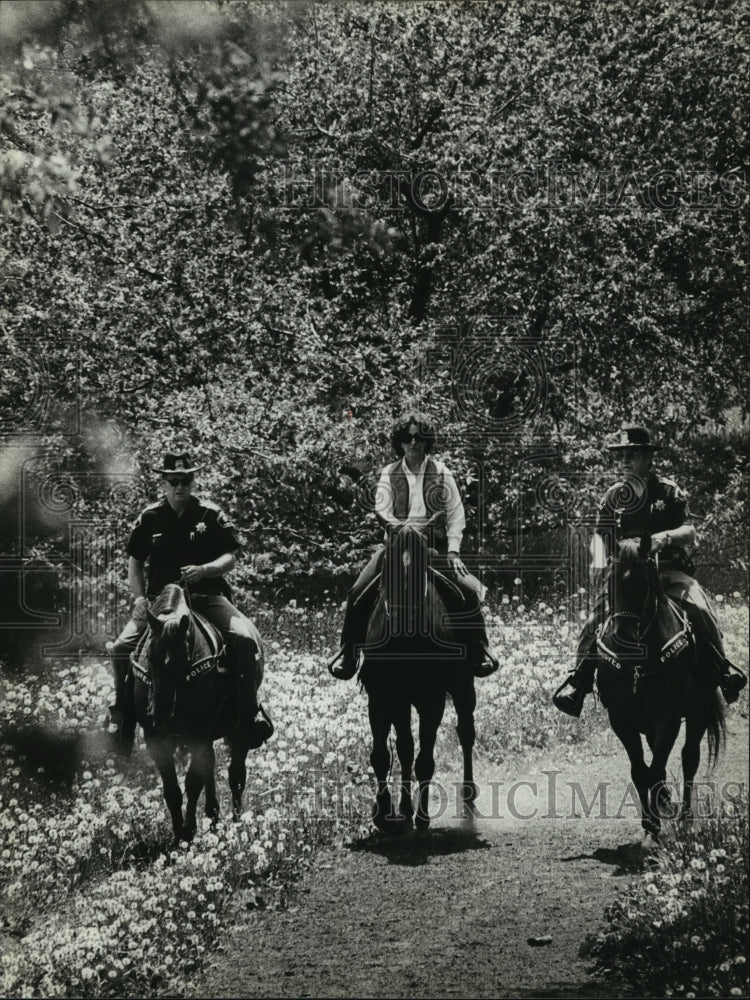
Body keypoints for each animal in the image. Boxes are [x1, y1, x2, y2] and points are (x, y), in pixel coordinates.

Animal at [132, 584, 270, 840]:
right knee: (211, 767)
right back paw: (212, 818)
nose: (160, 714)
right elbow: (172, 789)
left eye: (183, 659)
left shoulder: (199, 734)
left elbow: (193, 783)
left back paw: (236, 823)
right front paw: (179, 835)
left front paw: (188, 831)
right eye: (150, 657)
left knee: (236, 775)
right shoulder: (155, 737)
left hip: (238, 730)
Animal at [362, 520, 478, 832]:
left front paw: (422, 816)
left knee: (466, 732)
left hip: (464, 685)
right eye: (388, 563)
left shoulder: (431, 699)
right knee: (406, 748)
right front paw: (386, 814)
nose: (404, 622)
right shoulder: (385, 696)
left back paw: (468, 793)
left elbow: (424, 759)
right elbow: (388, 754)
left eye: (422, 563)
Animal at [596, 536, 724, 848]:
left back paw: (686, 820)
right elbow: (640, 770)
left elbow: (656, 769)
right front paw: (650, 824)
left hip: (698, 708)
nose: (623, 639)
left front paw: (655, 827)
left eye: (644, 581)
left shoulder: (668, 716)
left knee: (689, 758)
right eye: (610, 580)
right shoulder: (621, 718)